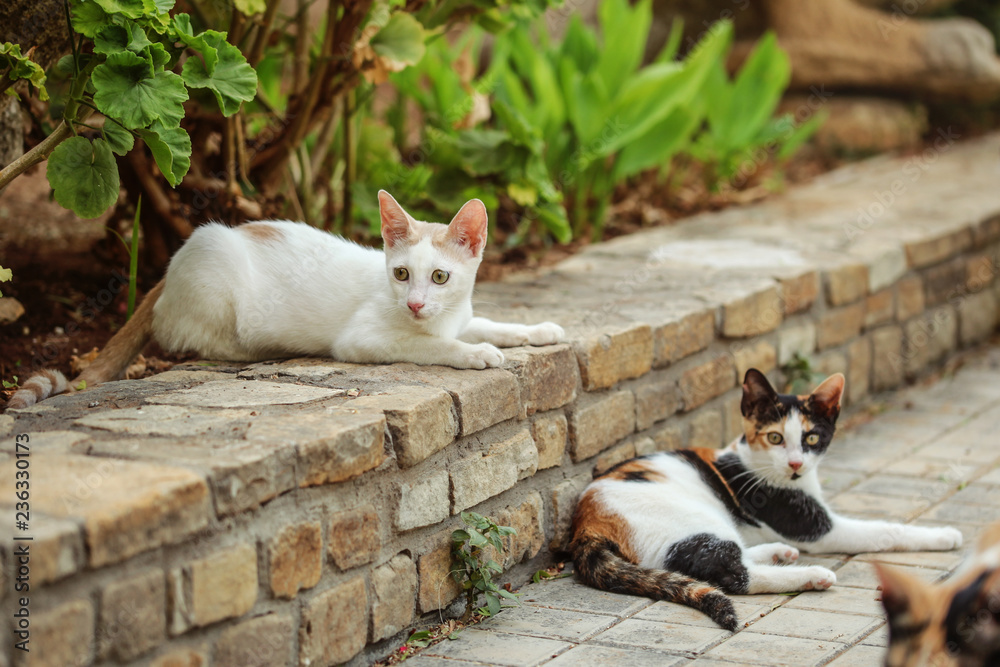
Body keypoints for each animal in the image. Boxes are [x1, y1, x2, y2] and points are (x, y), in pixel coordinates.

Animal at [7, 190, 568, 410]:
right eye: (401, 274)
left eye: (440, 276)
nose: (414, 304)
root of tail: (164, 277)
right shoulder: (361, 340)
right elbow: (432, 347)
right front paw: (474, 355)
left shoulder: (457, 314)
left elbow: (490, 323)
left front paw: (538, 331)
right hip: (218, 276)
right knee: (195, 341)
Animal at [572, 370, 968, 632]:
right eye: (775, 437)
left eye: (811, 438)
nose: (795, 464)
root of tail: (584, 526)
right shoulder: (817, 527)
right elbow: (885, 532)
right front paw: (943, 536)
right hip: (687, 516)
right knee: (733, 575)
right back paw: (811, 575)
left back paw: (779, 553)